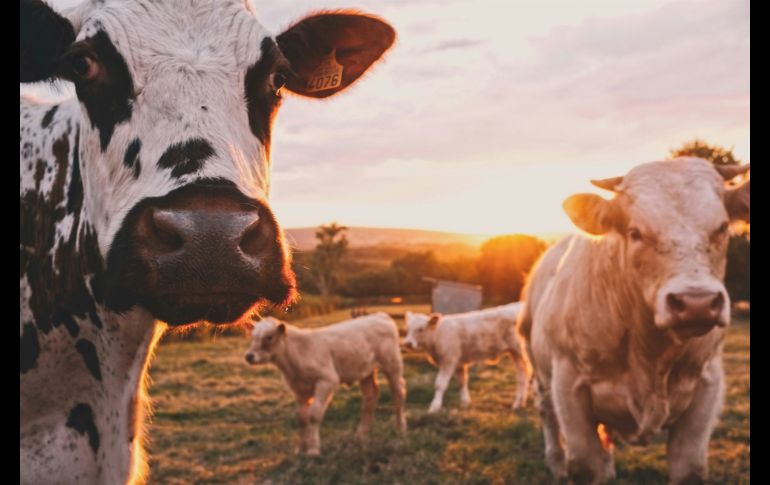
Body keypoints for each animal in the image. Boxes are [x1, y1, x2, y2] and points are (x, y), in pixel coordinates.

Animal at [244, 314, 407, 456]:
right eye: (252, 336)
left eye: (269, 337)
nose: (249, 356)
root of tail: (380, 315)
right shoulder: (299, 390)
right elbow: (301, 418)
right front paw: (300, 448)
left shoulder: (327, 380)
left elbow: (313, 415)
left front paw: (313, 449)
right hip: (365, 371)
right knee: (370, 396)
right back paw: (361, 433)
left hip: (392, 365)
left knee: (398, 393)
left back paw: (400, 428)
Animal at [517, 158, 750, 484]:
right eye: (635, 232)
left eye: (722, 227)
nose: (697, 303)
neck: (650, 354)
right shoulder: (569, 386)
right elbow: (585, 465)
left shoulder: (707, 385)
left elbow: (689, 467)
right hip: (538, 369)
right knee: (547, 415)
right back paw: (557, 464)